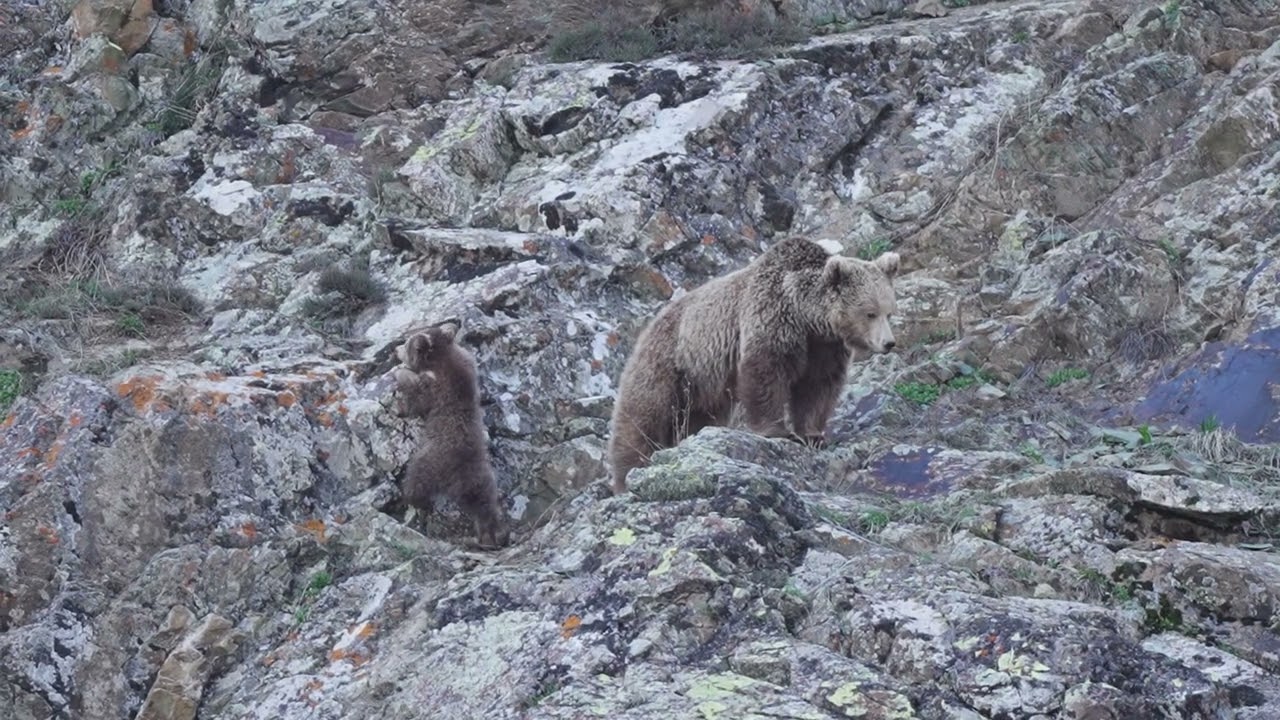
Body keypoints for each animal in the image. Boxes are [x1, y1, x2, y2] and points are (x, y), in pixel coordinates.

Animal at [392, 323, 511, 548]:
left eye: (406, 343)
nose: (395, 349)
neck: (440, 359)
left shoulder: (436, 387)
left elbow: (417, 397)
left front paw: (400, 373)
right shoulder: (466, 363)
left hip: (429, 460)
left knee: (416, 480)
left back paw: (409, 498)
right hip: (484, 478)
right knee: (484, 502)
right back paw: (491, 534)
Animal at [606, 236, 901, 494]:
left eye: (889, 312)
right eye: (870, 313)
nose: (889, 343)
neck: (807, 317)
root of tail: (649, 325)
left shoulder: (823, 347)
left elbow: (818, 387)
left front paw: (813, 435)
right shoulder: (772, 317)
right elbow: (766, 373)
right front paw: (778, 431)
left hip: (702, 385)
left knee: (699, 417)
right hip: (668, 363)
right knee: (643, 418)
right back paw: (626, 476)